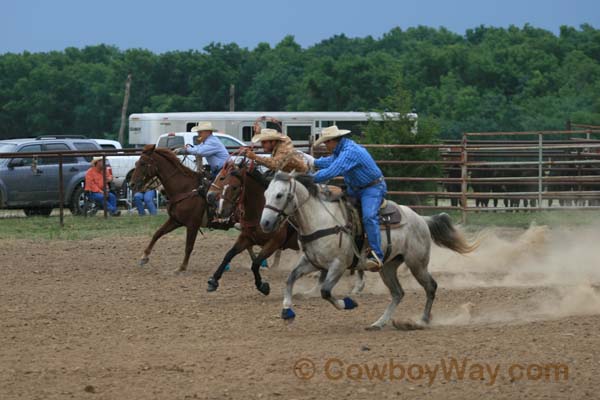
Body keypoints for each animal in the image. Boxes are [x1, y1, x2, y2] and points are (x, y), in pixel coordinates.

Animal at [129, 145, 216, 274]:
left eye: (143, 163)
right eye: (136, 163)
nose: (131, 184)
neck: (185, 189)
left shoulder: (193, 224)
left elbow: (188, 246)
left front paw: (182, 267)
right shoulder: (176, 220)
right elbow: (157, 233)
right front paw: (144, 257)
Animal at [206, 160, 300, 296]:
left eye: (234, 187)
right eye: (221, 180)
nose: (221, 210)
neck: (260, 212)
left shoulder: (274, 243)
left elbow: (255, 263)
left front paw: (262, 286)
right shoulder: (247, 237)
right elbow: (229, 255)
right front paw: (213, 281)